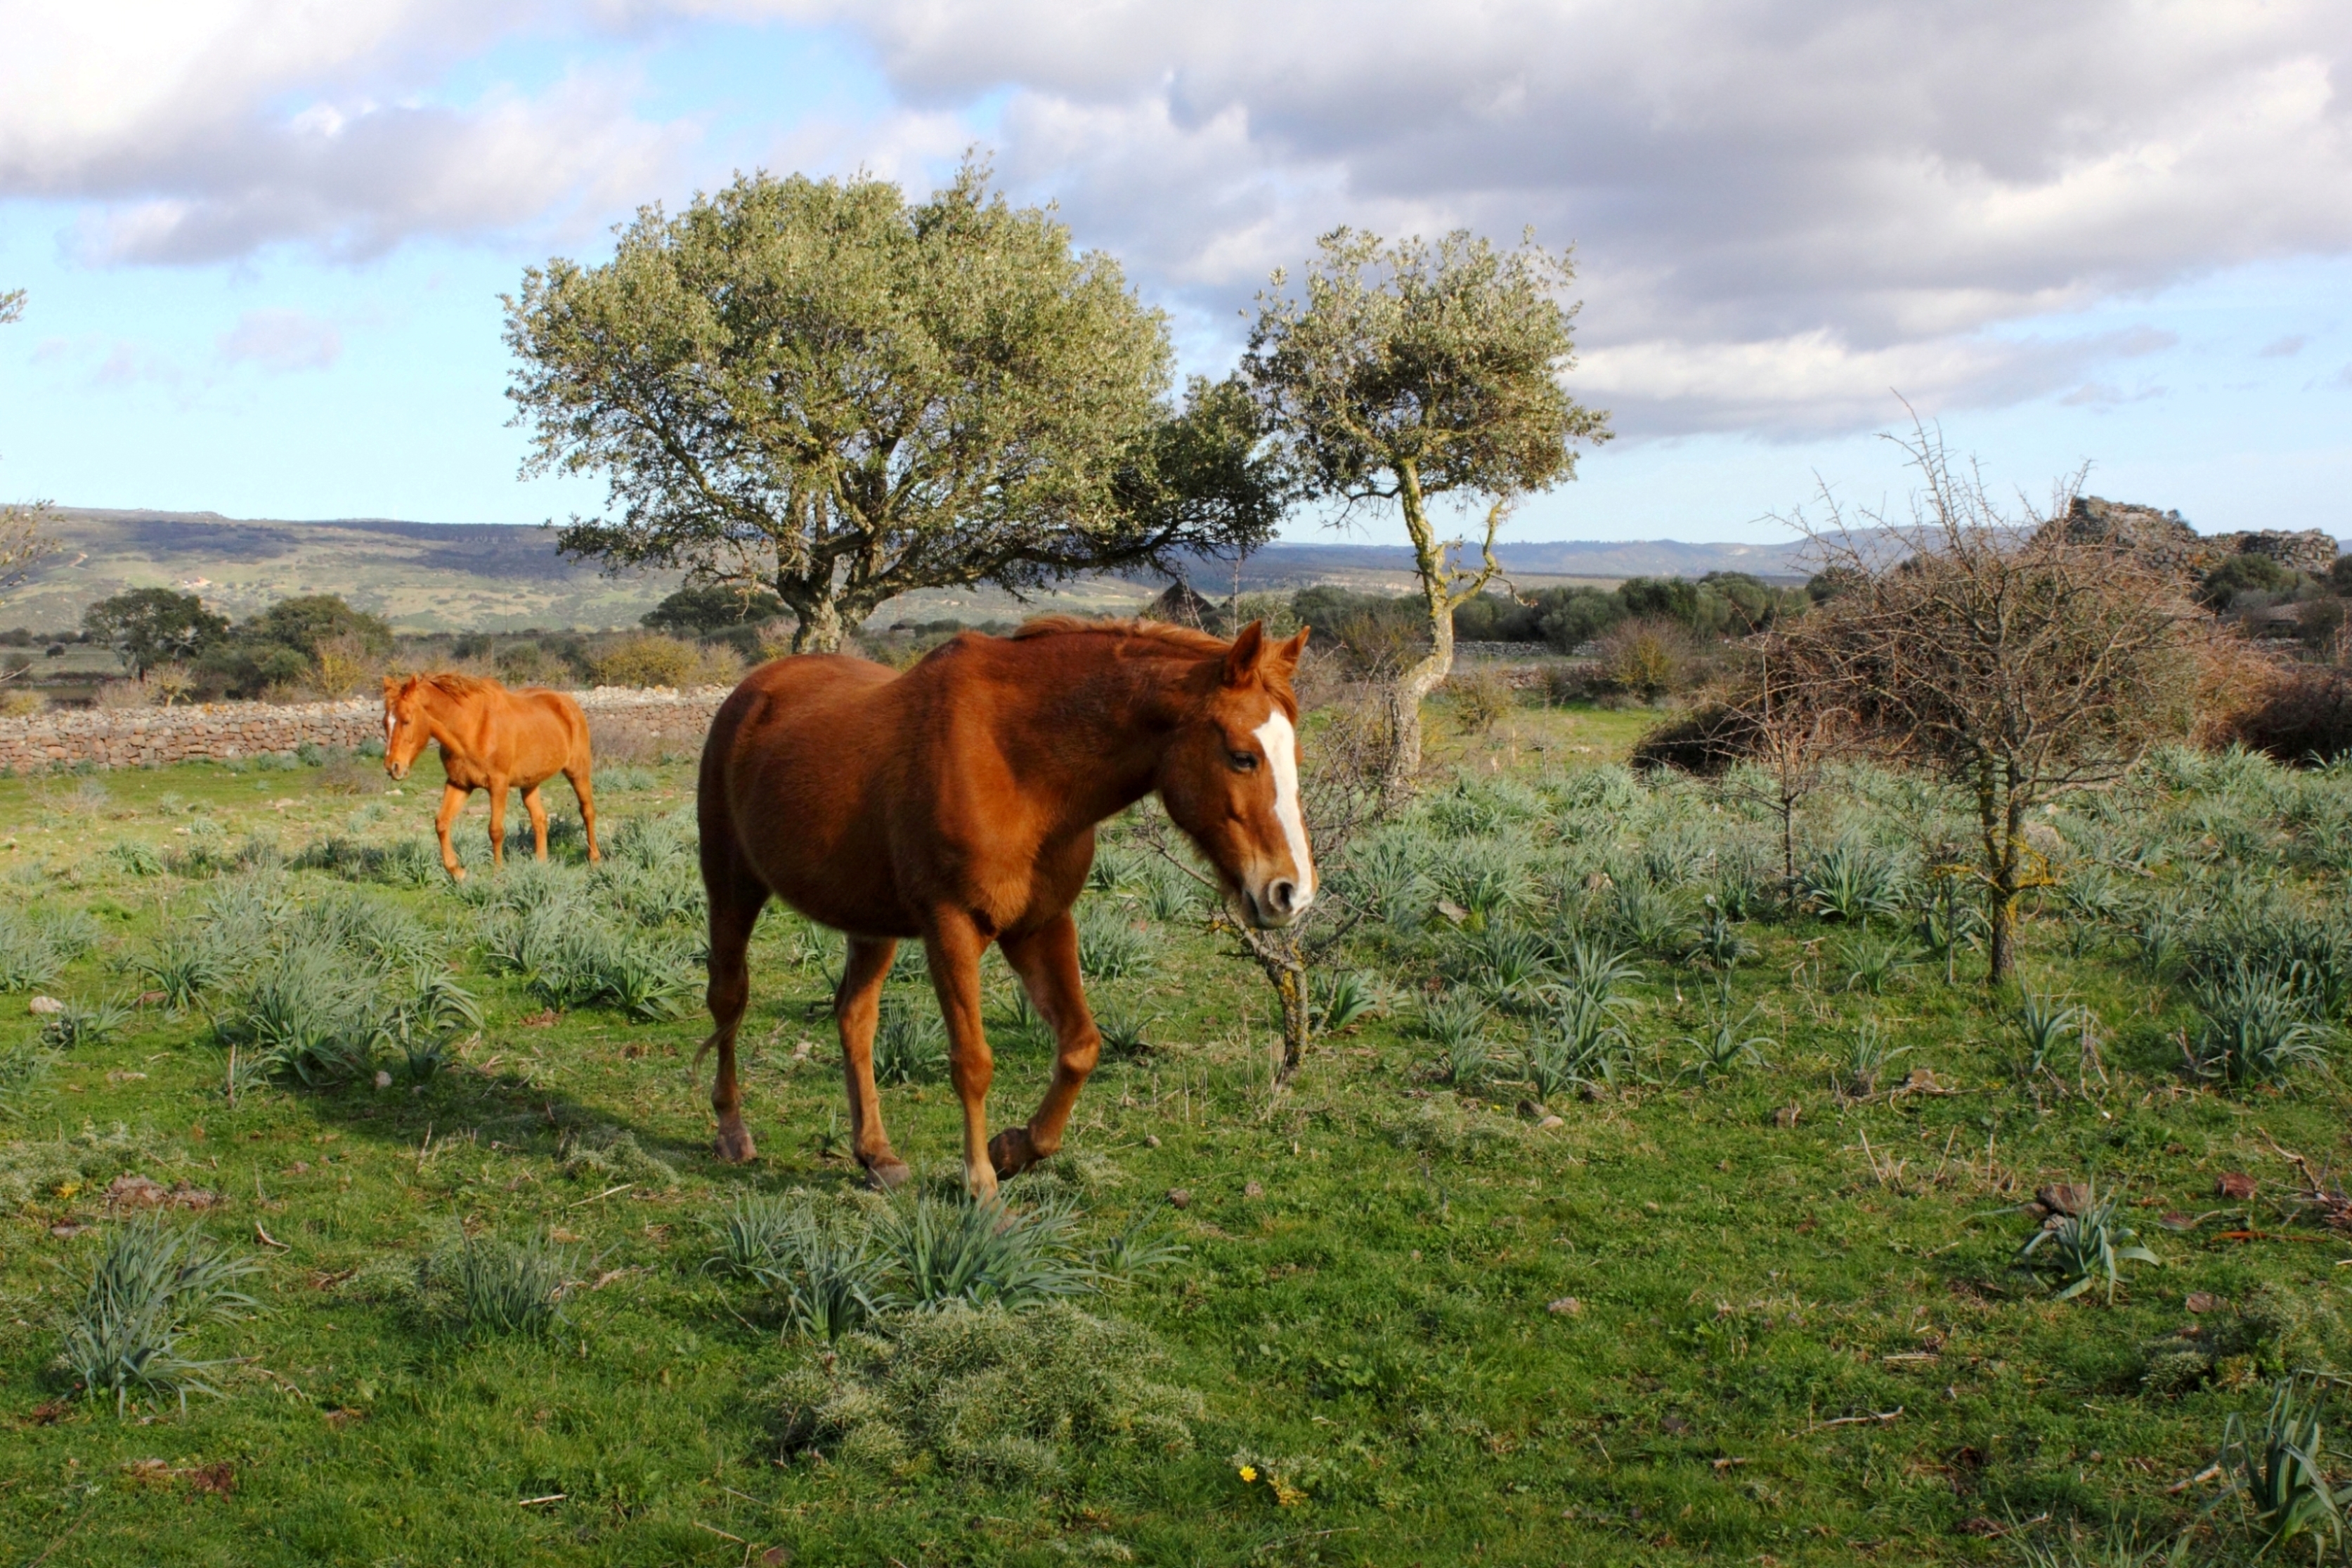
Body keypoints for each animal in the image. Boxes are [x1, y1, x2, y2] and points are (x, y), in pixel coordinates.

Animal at [376, 672, 597, 879]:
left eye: (407, 721)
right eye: (385, 722)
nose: (393, 767)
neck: (473, 728)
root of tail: (568, 703)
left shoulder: (498, 785)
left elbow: (495, 830)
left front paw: (498, 872)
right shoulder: (459, 784)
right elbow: (442, 823)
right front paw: (457, 872)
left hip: (578, 772)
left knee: (587, 811)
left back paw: (594, 859)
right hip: (530, 783)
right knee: (540, 819)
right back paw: (541, 866)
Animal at [696, 620, 1326, 1194]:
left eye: (1294, 754)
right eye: (1242, 757)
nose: (1291, 892)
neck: (1019, 765)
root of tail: (752, 692)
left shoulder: (1040, 925)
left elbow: (1080, 1046)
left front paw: (1012, 1149)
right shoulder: (951, 928)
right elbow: (972, 1063)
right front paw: (981, 1188)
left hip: (869, 924)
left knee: (855, 1018)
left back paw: (876, 1155)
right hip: (732, 888)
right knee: (729, 998)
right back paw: (731, 1131)